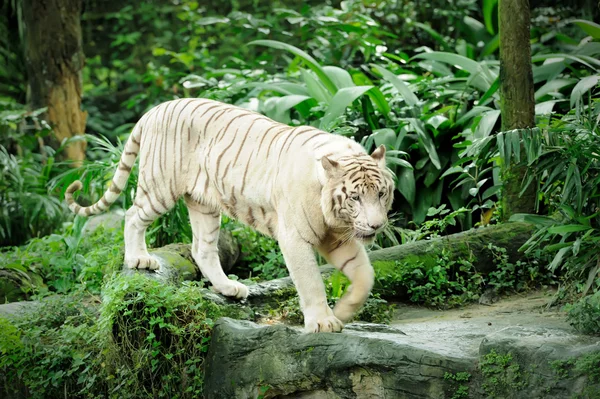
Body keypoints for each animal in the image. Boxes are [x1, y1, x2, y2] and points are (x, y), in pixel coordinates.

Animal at [64, 99, 394, 334]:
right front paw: (323, 322)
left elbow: (366, 276)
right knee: (133, 215)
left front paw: (343, 312)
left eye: (381, 194)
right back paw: (139, 259)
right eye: (354, 197)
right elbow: (310, 281)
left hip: (204, 205)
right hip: (160, 186)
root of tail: (155, 109)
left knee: (201, 248)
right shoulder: (296, 238)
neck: (336, 217)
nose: (376, 225)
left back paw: (229, 289)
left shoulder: (338, 239)